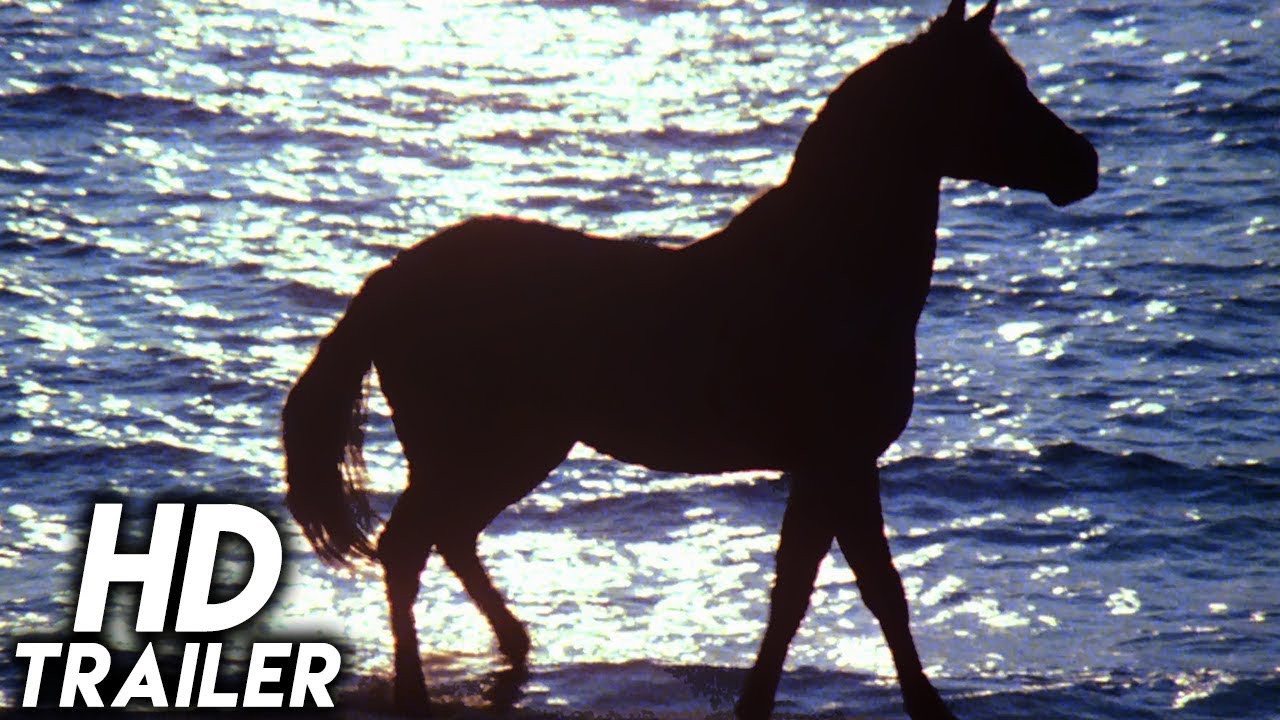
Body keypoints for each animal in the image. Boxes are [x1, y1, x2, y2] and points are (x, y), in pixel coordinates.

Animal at [282, 1, 1097, 718]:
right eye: (995, 89)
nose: (1084, 164)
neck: (825, 268)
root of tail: (389, 281)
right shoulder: (842, 460)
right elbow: (873, 591)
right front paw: (920, 705)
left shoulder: (829, 467)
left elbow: (803, 588)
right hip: (480, 449)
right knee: (408, 547)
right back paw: (425, 688)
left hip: (516, 451)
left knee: (445, 538)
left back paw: (516, 645)